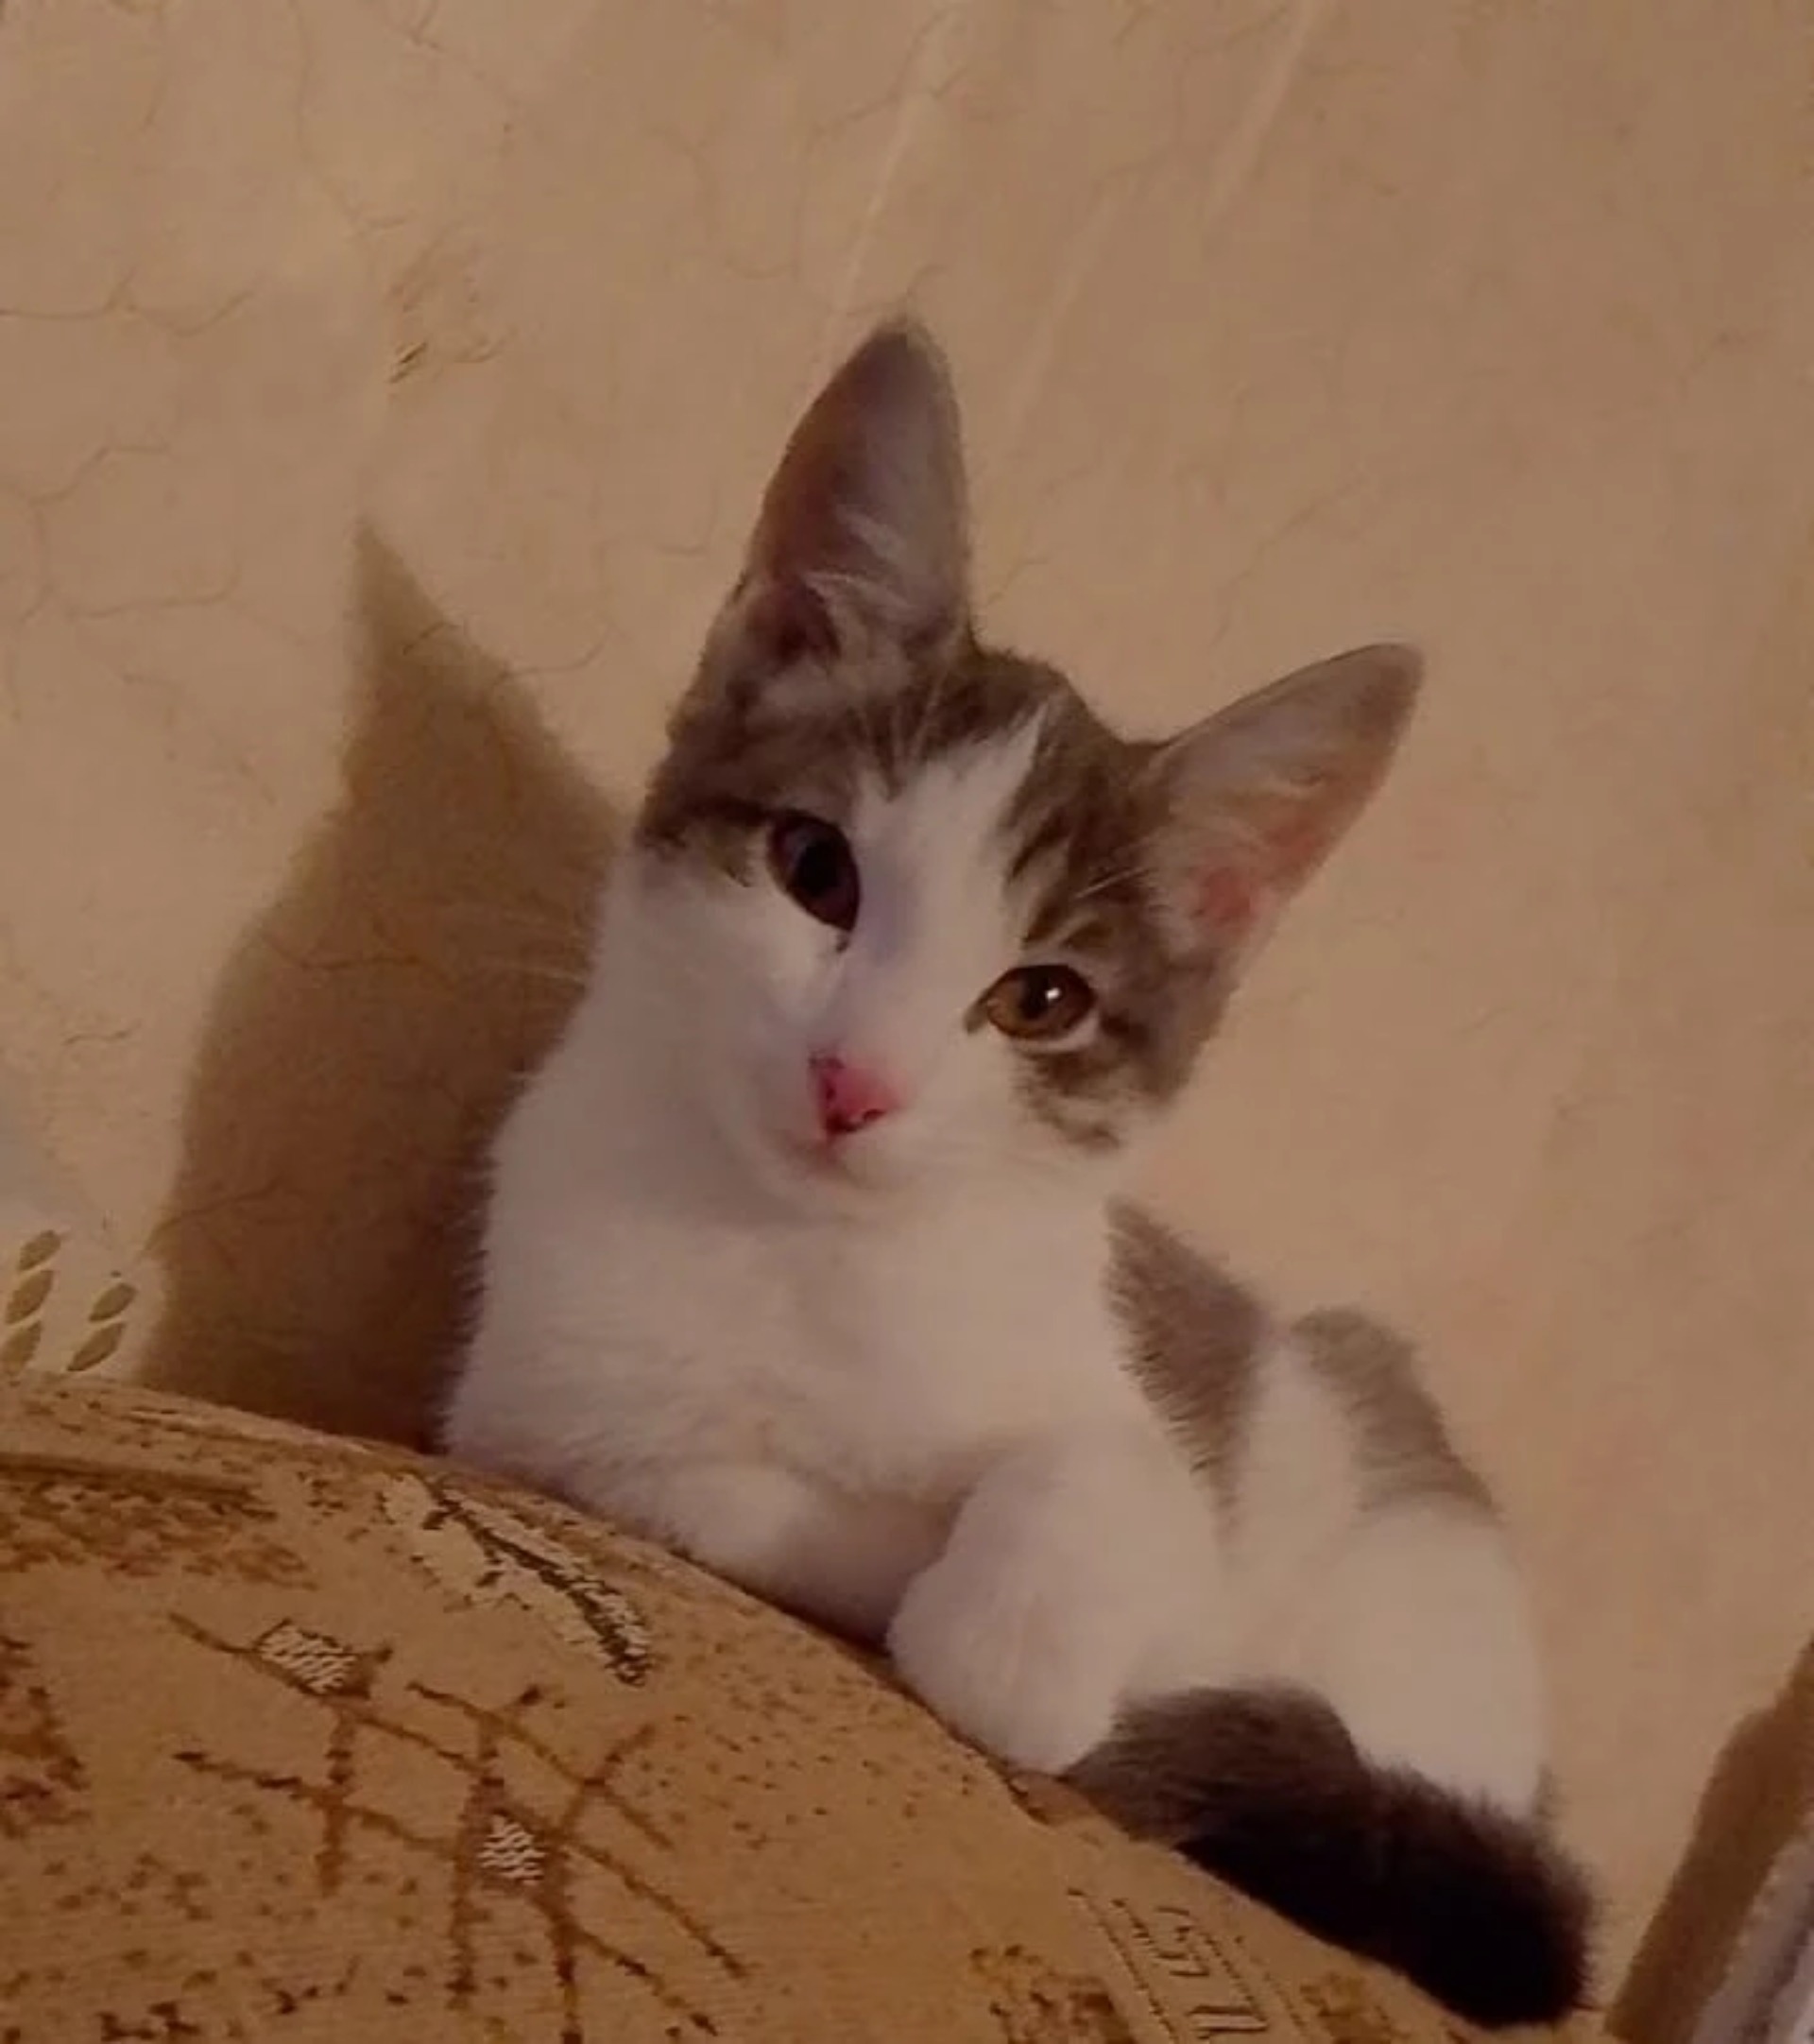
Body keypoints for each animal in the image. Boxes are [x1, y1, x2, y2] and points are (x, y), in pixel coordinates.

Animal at [443, 320, 1591, 2027]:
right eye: (817, 869)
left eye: (1041, 998)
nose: (855, 1080)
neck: (816, 1252)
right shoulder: (525, 1394)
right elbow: (691, 1471)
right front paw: (886, 1558)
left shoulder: (1130, 1413)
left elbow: (1110, 1469)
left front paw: (1013, 1641)